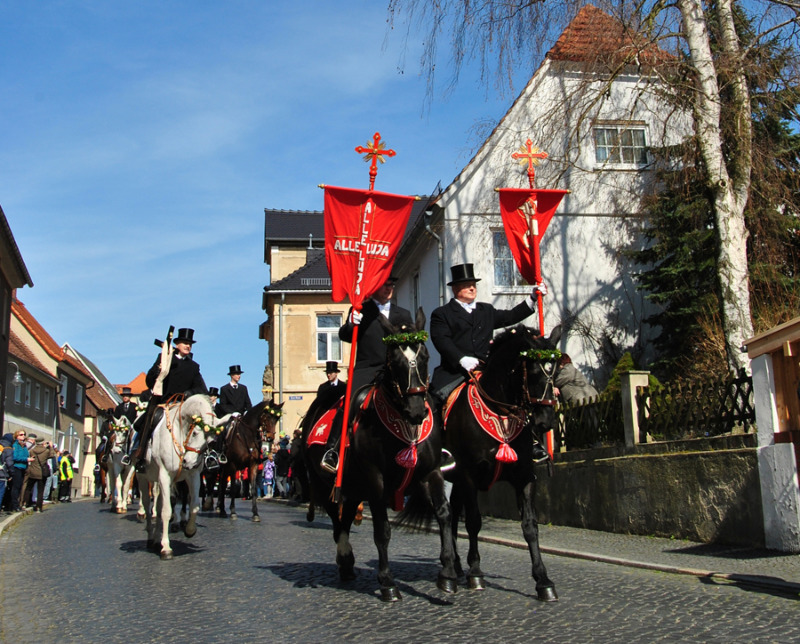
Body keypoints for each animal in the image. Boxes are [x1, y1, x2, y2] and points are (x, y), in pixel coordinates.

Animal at [138, 392, 230, 560]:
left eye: (211, 442)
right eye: (194, 433)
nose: (188, 462)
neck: (180, 432)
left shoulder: (193, 476)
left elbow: (193, 505)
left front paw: (189, 530)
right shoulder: (165, 475)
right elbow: (166, 511)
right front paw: (166, 548)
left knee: (159, 506)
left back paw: (156, 539)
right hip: (143, 477)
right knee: (148, 505)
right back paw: (150, 536)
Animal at [304, 310, 460, 600]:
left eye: (425, 357)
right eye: (395, 359)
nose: (416, 411)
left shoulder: (430, 472)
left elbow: (444, 514)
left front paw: (447, 575)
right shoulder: (376, 479)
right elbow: (382, 530)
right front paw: (387, 582)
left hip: (353, 487)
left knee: (345, 518)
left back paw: (347, 564)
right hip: (324, 483)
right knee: (336, 521)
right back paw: (345, 559)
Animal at [444, 324, 564, 600]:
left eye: (554, 371)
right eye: (532, 370)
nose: (546, 421)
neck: (500, 412)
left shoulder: (524, 477)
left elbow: (530, 526)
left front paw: (543, 580)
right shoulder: (469, 475)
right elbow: (474, 522)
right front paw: (476, 572)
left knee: (453, 513)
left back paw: (457, 564)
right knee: (450, 515)